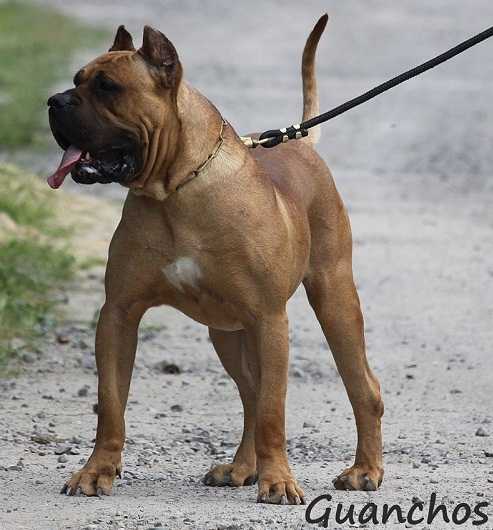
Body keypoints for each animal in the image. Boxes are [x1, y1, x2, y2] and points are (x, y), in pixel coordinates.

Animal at [46, 14, 382, 502]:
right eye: (76, 80)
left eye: (108, 87)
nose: (53, 102)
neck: (176, 189)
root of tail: (302, 143)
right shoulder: (118, 314)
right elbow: (110, 404)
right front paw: (96, 472)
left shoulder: (270, 319)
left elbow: (273, 412)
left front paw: (280, 481)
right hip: (227, 332)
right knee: (250, 394)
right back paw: (244, 468)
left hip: (333, 302)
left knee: (360, 389)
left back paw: (364, 470)